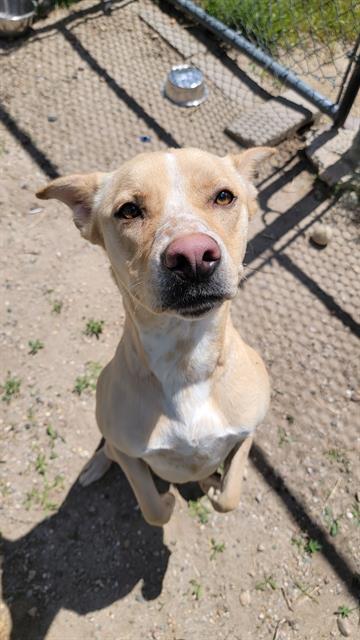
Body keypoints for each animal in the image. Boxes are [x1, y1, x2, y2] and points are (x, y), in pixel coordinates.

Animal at [37, 149, 272, 524]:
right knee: (107, 449)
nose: (193, 256)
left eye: (224, 196)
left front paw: (212, 485)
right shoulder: (130, 455)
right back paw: (95, 466)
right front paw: (170, 501)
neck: (186, 360)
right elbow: (153, 508)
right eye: (129, 210)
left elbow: (229, 496)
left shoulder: (247, 433)